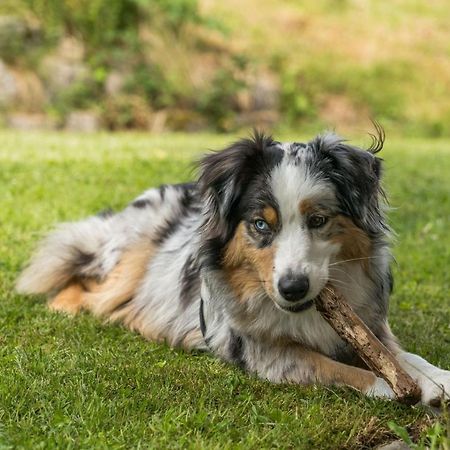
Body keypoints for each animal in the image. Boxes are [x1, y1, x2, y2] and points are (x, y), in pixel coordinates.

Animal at [15, 131, 448, 408]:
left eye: (319, 220)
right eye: (260, 224)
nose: (293, 288)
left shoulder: (368, 325)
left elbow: (400, 354)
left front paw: (436, 378)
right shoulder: (262, 352)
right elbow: (343, 370)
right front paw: (397, 389)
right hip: (127, 268)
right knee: (85, 283)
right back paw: (64, 306)